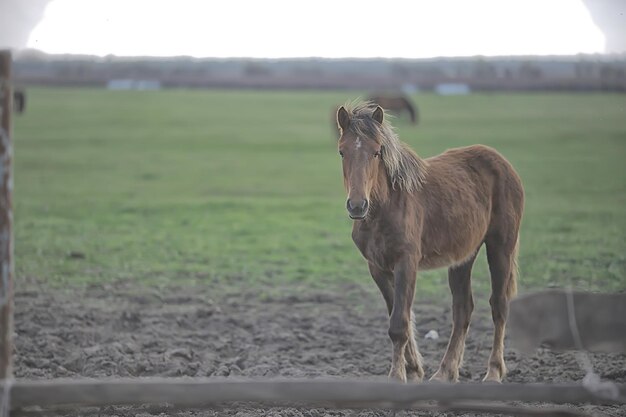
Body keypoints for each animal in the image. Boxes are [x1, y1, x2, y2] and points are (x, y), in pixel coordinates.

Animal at [336, 102, 520, 382]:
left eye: (377, 152)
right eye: (342, 152)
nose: (357, 206)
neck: (386, 207)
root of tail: (503, 163)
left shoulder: (407, 262)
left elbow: (399, 323)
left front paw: (397, 376)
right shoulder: (377, 267)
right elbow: (399, 316)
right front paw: (413, 370)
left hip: (501, 248)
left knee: (499, 306)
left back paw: (493, 373)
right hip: (463, 256)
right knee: (463, 309)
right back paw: (445, 372)